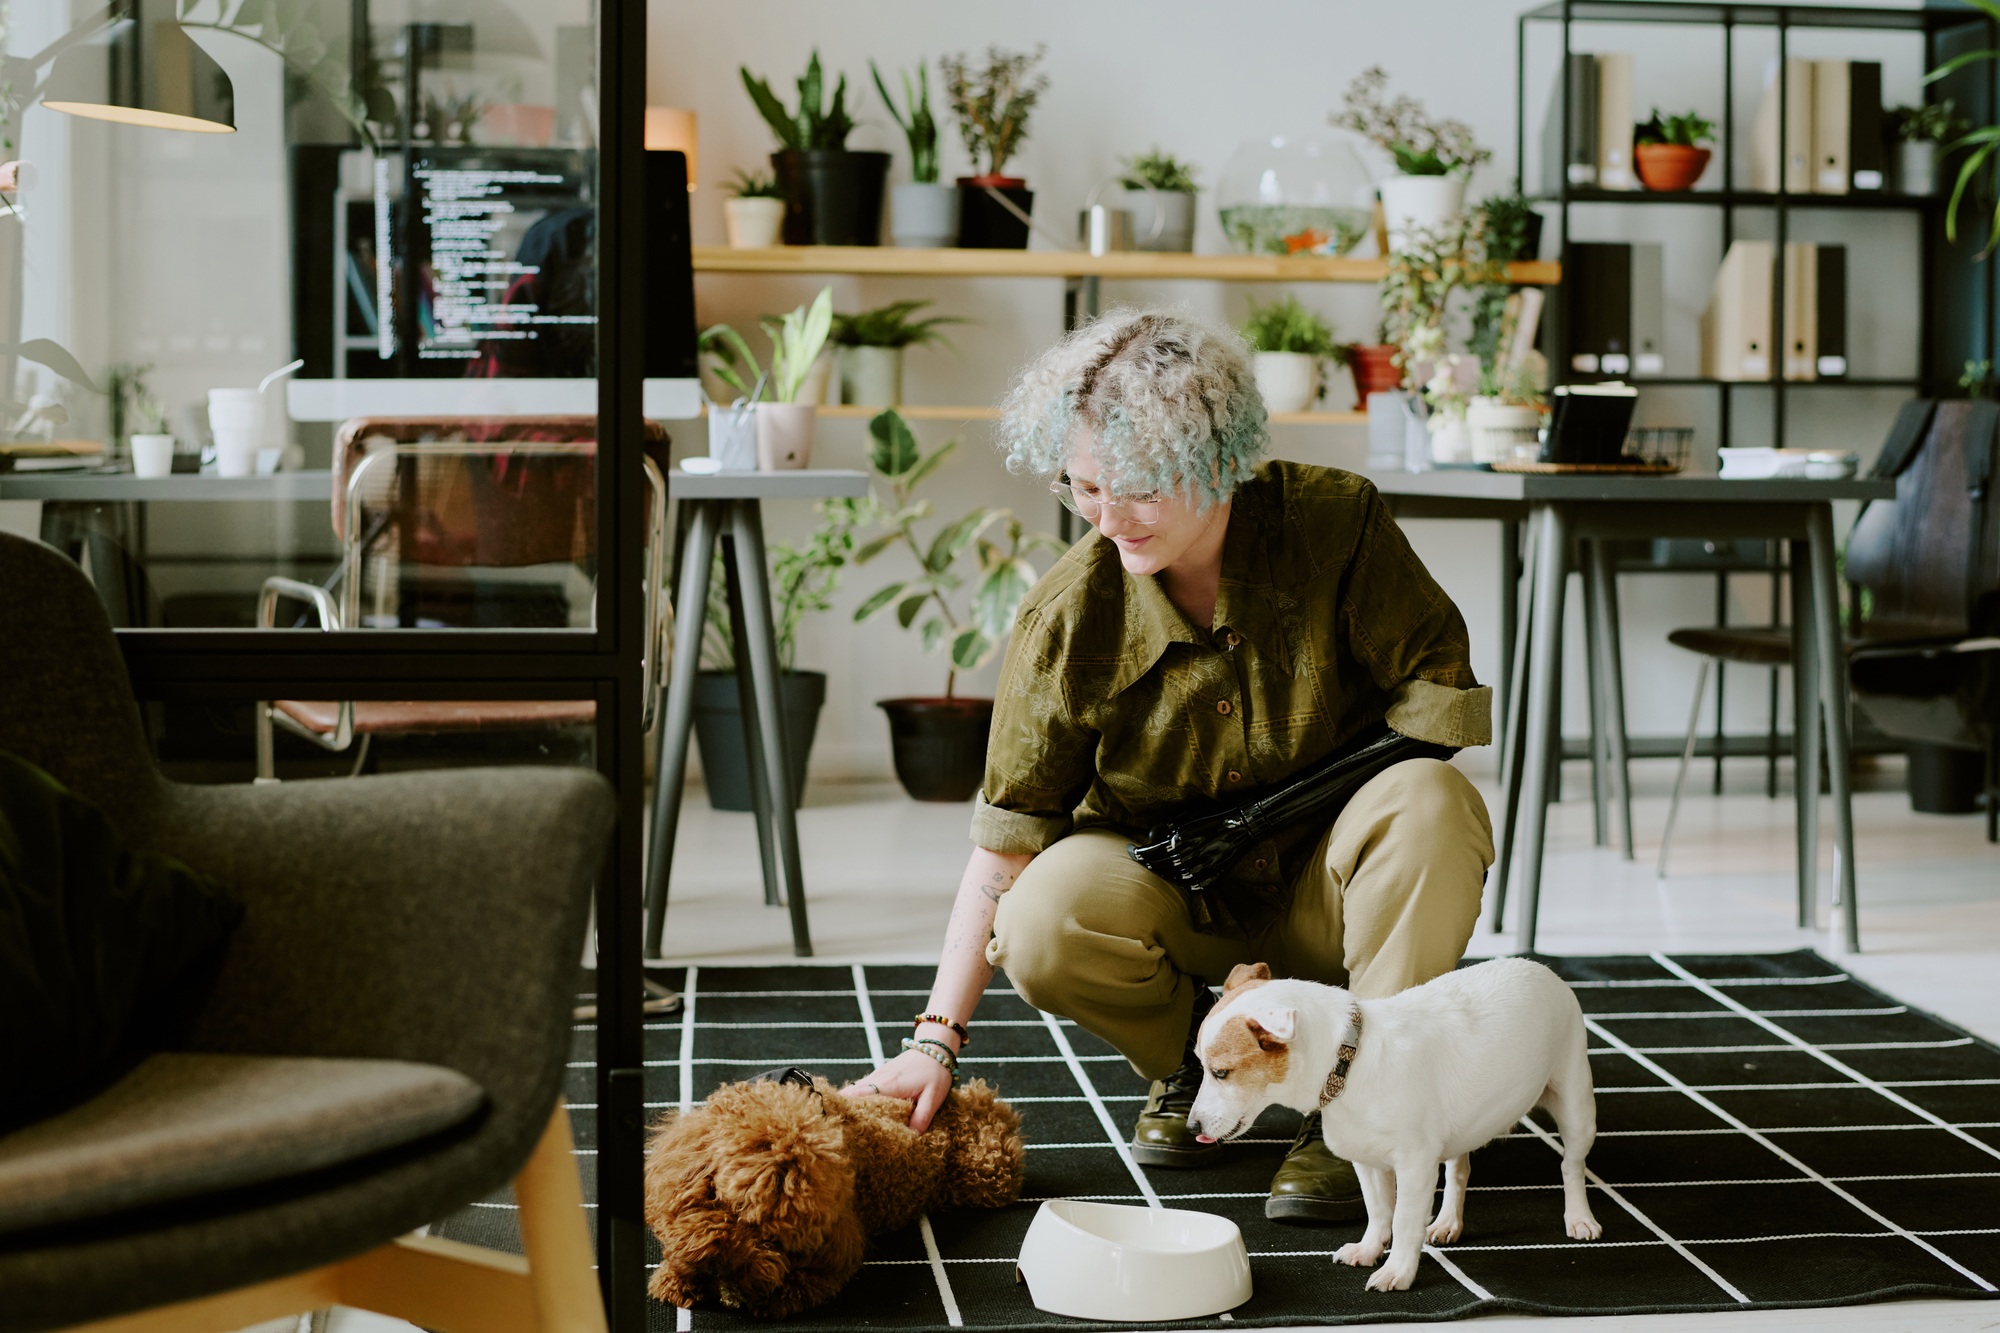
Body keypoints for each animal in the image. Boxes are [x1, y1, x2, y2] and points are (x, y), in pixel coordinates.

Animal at [644, 1072, 1024, 1304]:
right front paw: (674, 1278)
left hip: (989, 1175)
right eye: (728, 1204)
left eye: (774, 1240)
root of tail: (974, 1104)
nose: (720, 1269)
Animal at [1192, 956, 1600, 1288]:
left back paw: (1580, 1217)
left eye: (1221, 1072)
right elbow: (1379, 1211)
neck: (1349, 1062)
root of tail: (1540, 967)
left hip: (1577, 1104)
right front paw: (1370, 1249)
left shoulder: (1415, 1165)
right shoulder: (1367, 1161)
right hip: (1466, 1123)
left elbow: (1403, 1220)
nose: (1193, 1128)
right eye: (1201, 1065)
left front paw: (1398, 1272)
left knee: (1572, 1164)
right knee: (1459, 1170)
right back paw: (1448, 1222)